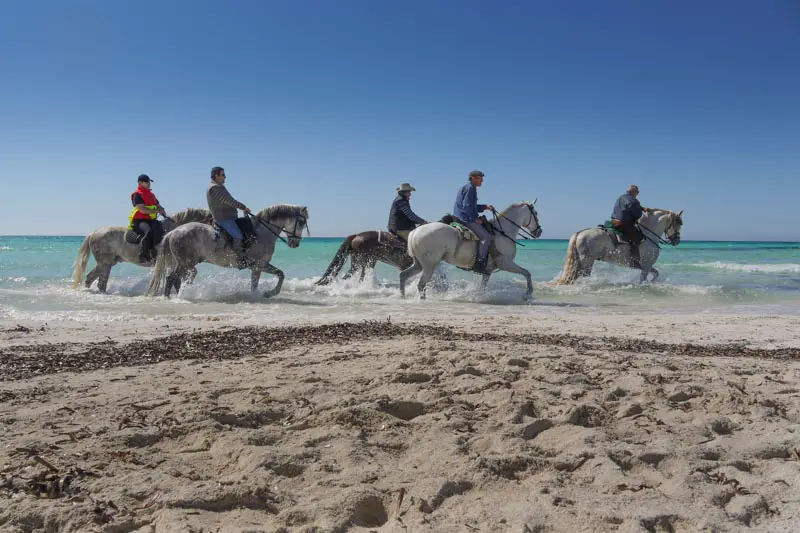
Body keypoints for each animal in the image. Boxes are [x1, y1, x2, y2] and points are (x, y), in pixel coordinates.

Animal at [72, 207, 212, 290]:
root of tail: (93, 233)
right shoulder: (177, 263)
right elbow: (182, 277)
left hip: (108, 262)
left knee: (90, 277)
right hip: (105, 263)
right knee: (101, 282)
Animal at [145, 204, 308, 298]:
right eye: (301, 222)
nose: (295, 243)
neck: (261, 232)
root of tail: (173, 232)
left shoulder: (258, 267)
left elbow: (268, 279)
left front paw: (262, 294)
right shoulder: (259, 265)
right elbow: (277, 276)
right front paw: (269, 293)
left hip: (184, 263)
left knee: (175, 278)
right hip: (186, 263)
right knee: (173, 277)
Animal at [400, 201, 544, 298]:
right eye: (536, 213)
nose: (539, 231)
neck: (503, 232)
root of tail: (415, 231)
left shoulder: (488, 271)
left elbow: (482, 287)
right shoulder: (506, 264)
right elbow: (527, 273)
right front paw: (528, 294)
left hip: (418, 264)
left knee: (404, 275)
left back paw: (403, 296)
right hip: (429, 266)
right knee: (421, 284)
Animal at [552, 208, 684, 284]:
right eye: (678, 223)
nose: (676, 240)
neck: (647, 234)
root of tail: (579, 233)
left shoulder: (646, 266)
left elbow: (656, 274)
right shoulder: (646, 265)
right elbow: (644, 279)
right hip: (587, 261)